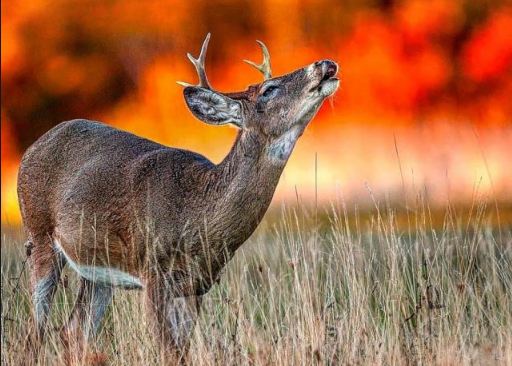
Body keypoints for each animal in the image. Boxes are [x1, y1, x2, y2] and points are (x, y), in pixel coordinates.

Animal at [16, 33, 338, 364]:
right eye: (268, 90)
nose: (325, 64)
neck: (198, 214)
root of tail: (32, 148)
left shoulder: (196, 286)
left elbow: (181, 351)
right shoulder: (153, 272)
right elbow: (168, 352)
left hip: (97, 270)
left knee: (72, 333)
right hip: (39, 233)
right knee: (34, 332)